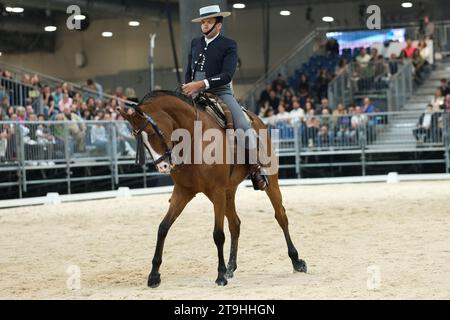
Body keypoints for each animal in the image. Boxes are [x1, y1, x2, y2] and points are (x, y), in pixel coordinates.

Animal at [116, 90, 308, 288]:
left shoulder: (216, 191)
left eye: (153, 132)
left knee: (281, 216)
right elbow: (163, 228)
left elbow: (218, 235)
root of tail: (256, 120)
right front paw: (154, 275)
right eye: (137, 138)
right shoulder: (183, 191)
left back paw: (296, 261)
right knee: (235, 224)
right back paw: (231, 266)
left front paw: (220, 275)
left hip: (267, 180)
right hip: (228, 191)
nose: (163, 167)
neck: (194, 139)